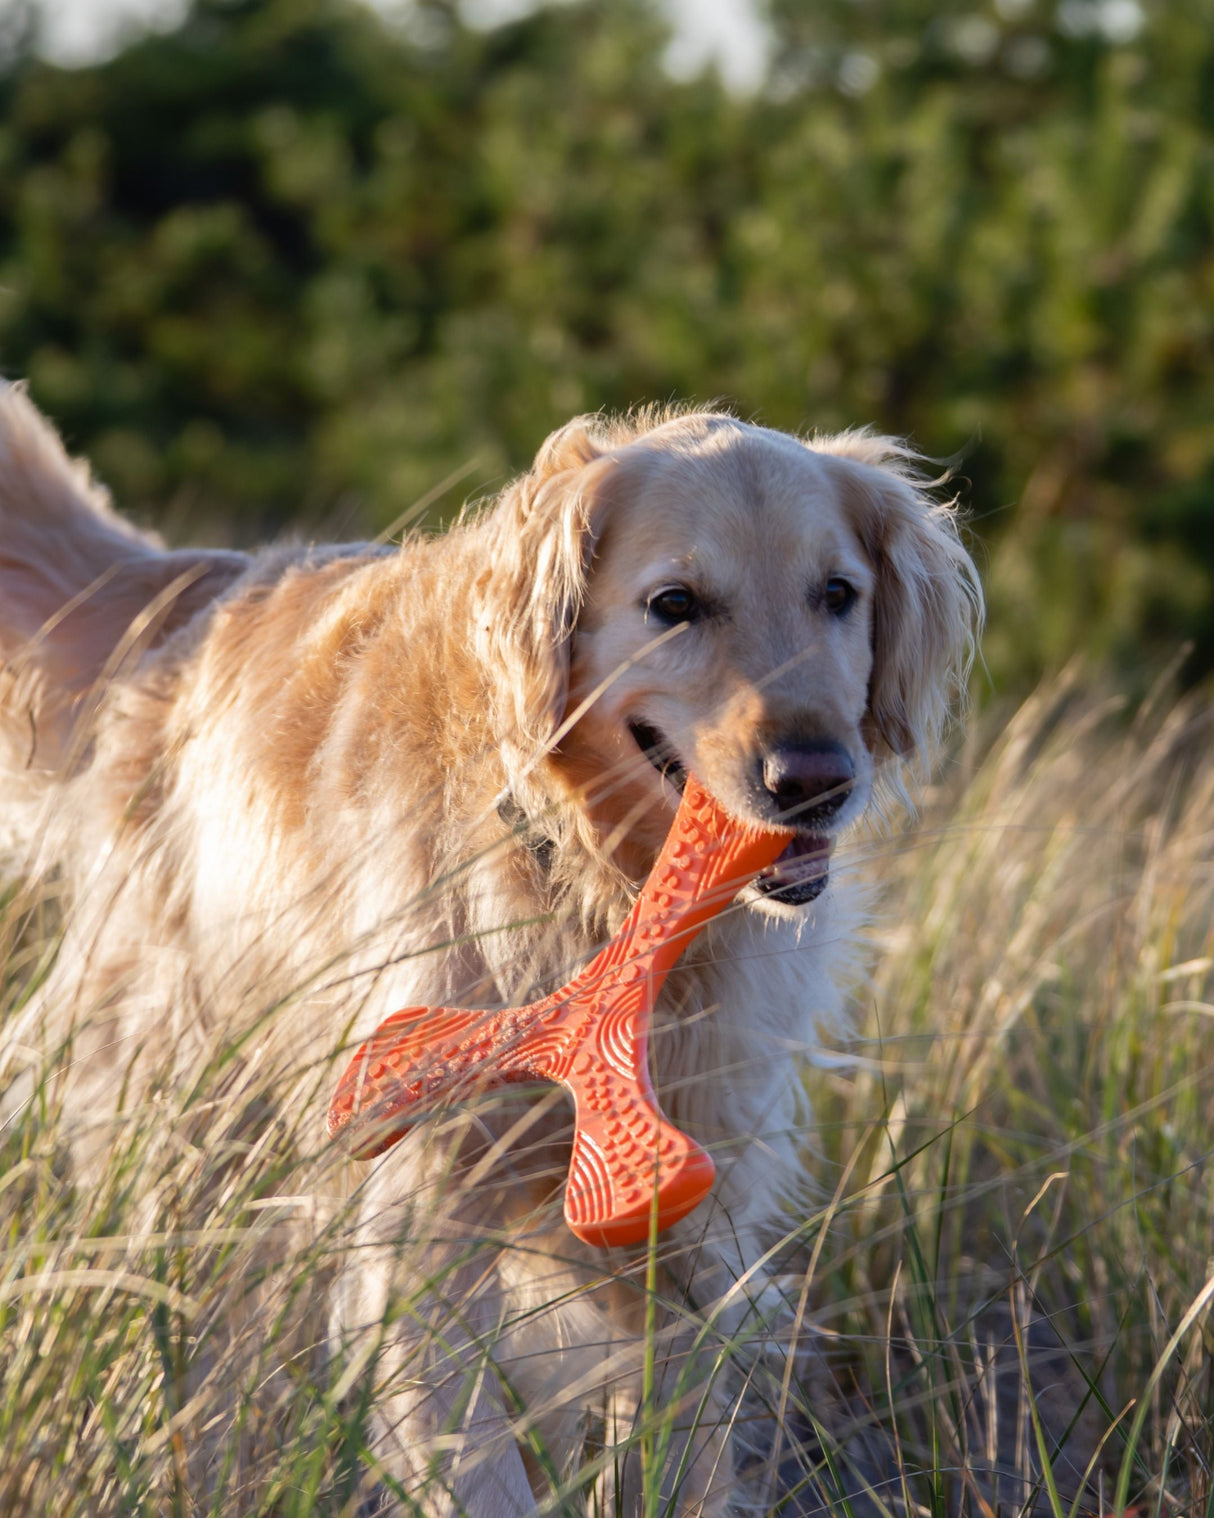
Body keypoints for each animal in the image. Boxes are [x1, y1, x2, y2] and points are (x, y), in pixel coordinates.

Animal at [0, 385, 977, 1511]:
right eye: (675, 603)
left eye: (837, 593)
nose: (813, 778)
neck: (592, 887)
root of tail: (206, 581)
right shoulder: (422, 1222)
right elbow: (474, 1462)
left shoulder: (689, 1222)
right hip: (176, 1102)